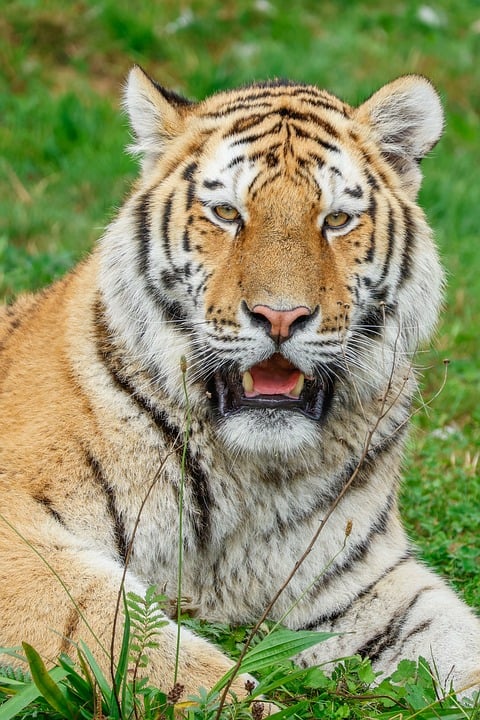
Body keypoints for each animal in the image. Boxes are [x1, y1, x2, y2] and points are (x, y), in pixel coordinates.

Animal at [0, 64, 480, 700]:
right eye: (227, 214)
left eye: (336, 220)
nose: (280, 316)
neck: (249, 476)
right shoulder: (17, 530)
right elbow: (118, 629)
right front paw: (238, 701)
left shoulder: (359, 579)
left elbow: (455, 636)